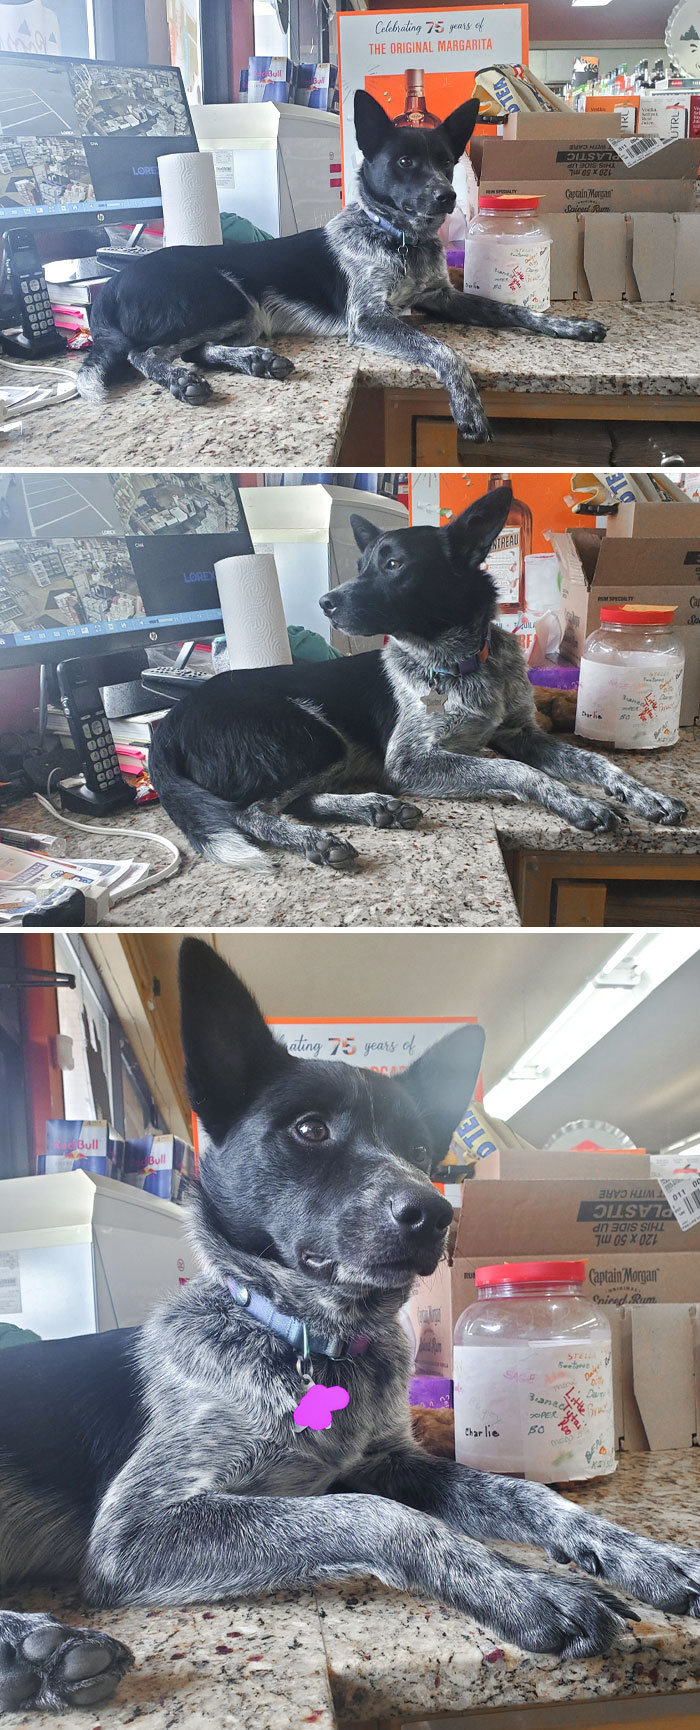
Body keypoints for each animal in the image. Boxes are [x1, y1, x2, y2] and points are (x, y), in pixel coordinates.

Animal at [4, 948, 698, 1716]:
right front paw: (528, 1588)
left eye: (420, 1146)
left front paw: (641, 1551)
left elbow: (524, 1492)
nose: (436, 1213)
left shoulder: (390, 1459)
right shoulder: (137, 1531)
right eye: (310, 1129)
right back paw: (36, 1647)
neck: (313, 1341)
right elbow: (380, 1517)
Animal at [75, 88, 604, 442]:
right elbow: (444, 350)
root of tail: (112, 287)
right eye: (405, 162)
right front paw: (468, 407)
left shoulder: (441, 296)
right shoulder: (368, 319)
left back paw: (257, 361)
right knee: (147, 354)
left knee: (197, 350)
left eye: (446, 162)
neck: (399, 239)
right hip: (223, 298)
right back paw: (183, 381)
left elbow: (515, 311)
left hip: (240, 316)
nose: (447, 196)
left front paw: (571, 326)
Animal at [148, 480, 687, 871]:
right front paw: (579, 804)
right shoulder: (409, 762)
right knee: (251, 812)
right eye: (362, 565)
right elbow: (517, 772)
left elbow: (598, 762)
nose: (325, 602)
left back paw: (375, 808)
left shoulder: (522, 735)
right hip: (313, 738)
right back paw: (318, 840)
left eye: (393, 565)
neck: (462, 662)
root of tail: (169, 723)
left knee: (295, 801)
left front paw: (646, 796)